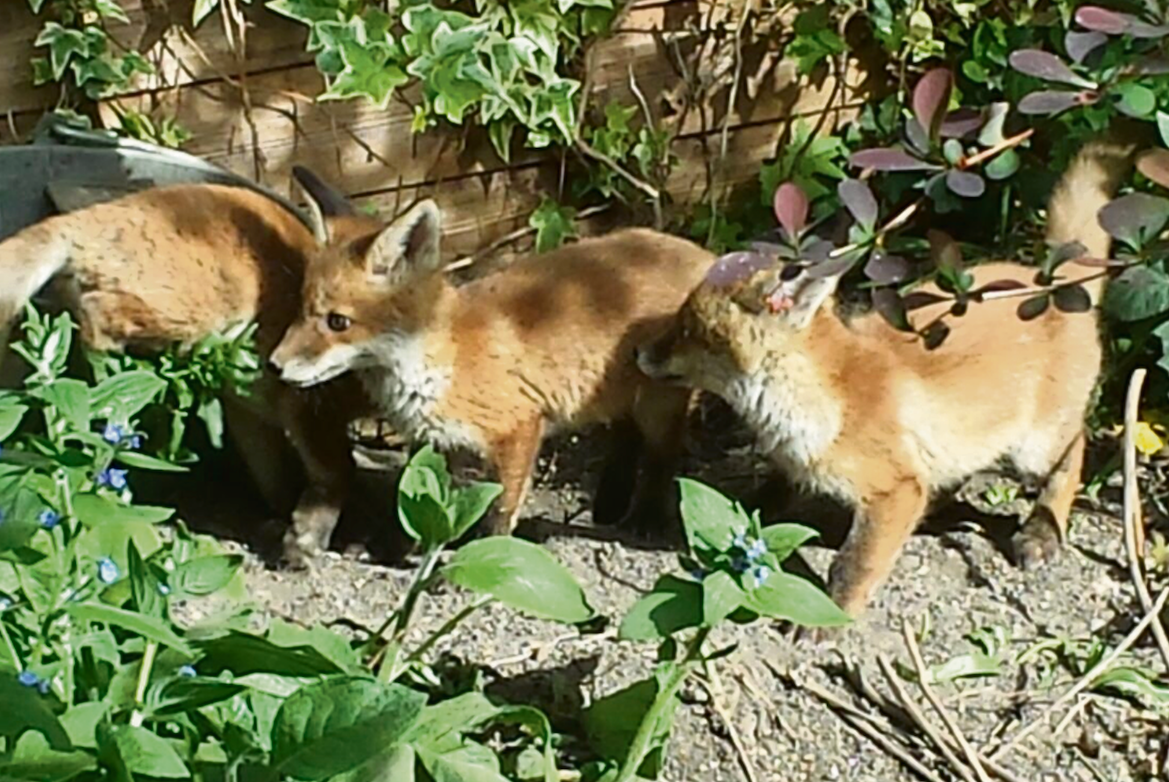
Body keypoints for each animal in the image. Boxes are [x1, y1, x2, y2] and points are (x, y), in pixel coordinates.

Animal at [0, 167, 381, 567]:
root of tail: (87, 216)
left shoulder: (256, 417)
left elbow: (277, 480)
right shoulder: (311, 407)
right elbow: (337, 473)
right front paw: (308, 539)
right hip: (194, 314)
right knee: (98, 312)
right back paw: (112, 386)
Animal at [268, 194, 717, 539]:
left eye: (337, 322)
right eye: (300, 311)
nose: (273, 365)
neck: (445, 362)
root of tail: (700, 252)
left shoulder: (520, 428)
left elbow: (500, 512)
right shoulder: (441, 444)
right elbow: (438, 504)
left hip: (660, 402)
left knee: (661, 454)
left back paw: (645, 517)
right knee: (624, 435)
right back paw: (610, 502)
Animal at [634, 132, 1144, 621]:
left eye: (687, 329)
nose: (639, 352)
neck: (823, 398)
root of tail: (1051, 283)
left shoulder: (894, 490)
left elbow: (855, 563)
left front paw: (831, 618)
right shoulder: (798, 465)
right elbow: (765, 500)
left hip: (1034, 450)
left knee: (1075, 454)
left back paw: (1042, 530)